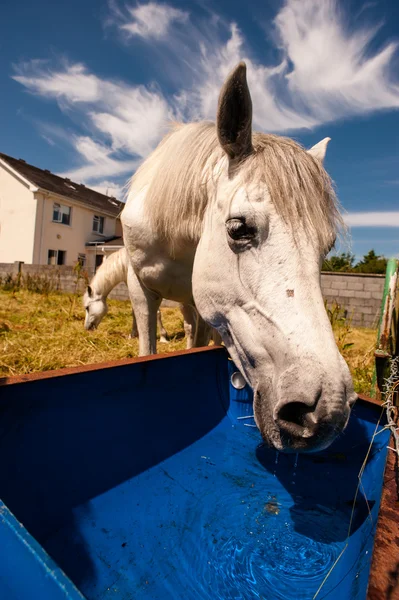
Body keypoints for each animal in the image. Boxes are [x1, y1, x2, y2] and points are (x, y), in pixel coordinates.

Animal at [122, 63, 356, 452]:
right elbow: (147, 347)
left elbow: (200, 342)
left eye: (327, 247)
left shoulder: (207, 308)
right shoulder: (140, 287)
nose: (328, 412)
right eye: (238, 228)